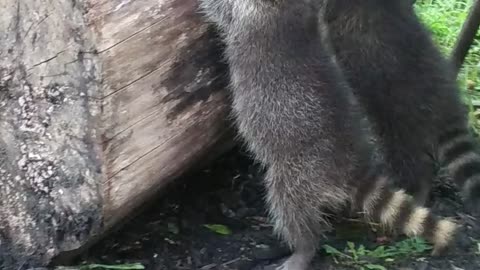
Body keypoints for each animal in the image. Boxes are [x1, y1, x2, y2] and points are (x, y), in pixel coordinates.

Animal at [198, 1, 458, 268]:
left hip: (300, 171)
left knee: (290, 206)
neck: (289, 8)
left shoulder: (251, 13)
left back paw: (303, 247)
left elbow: (221, 10)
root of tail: (351, 163)